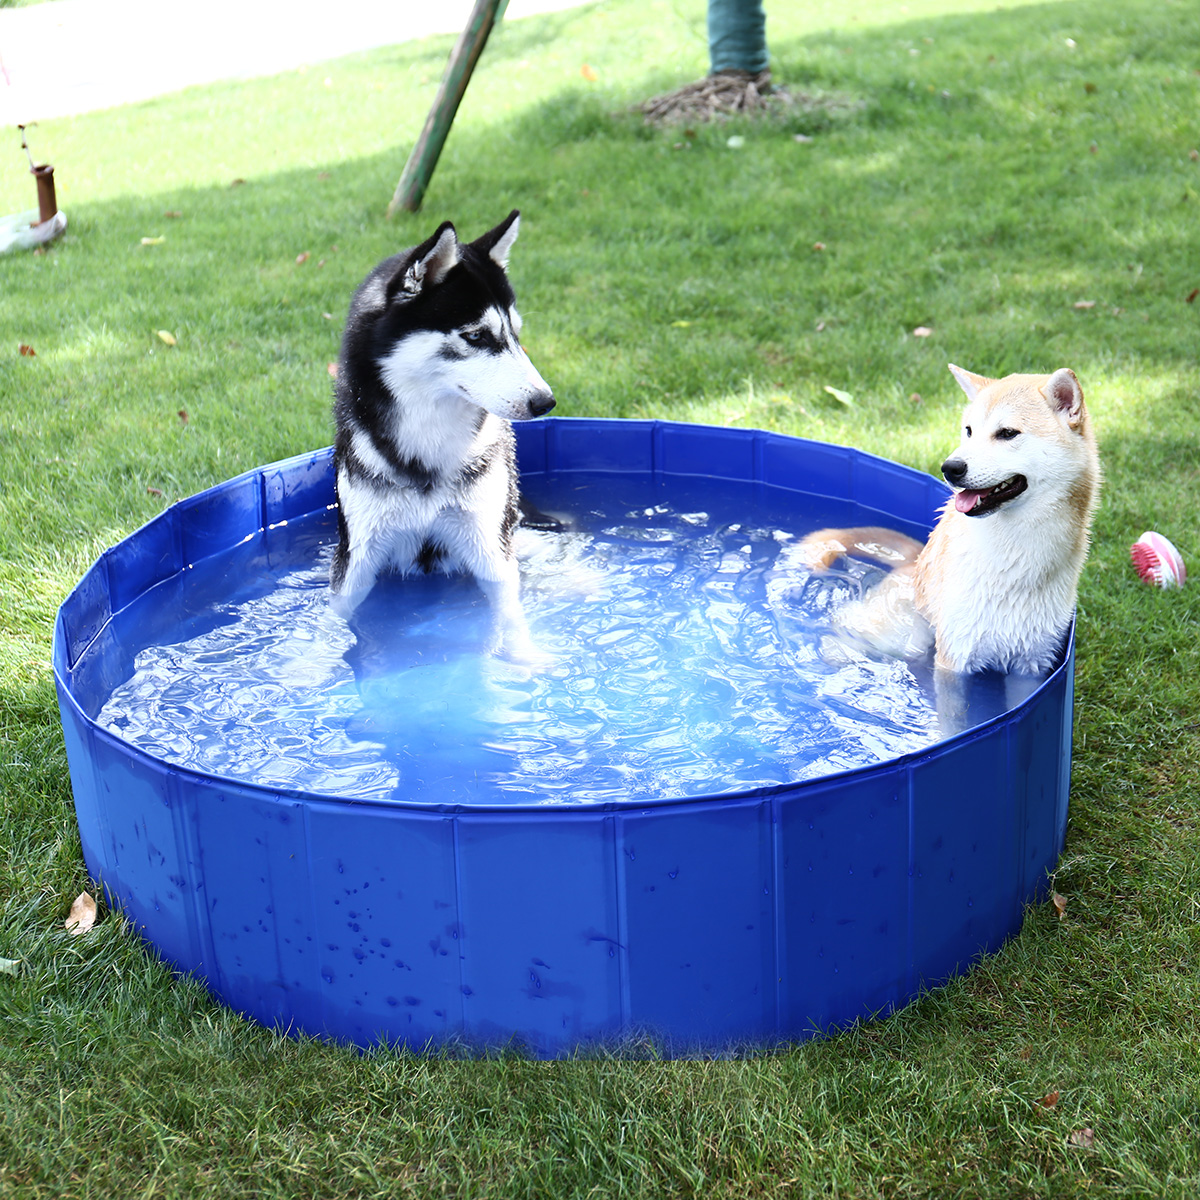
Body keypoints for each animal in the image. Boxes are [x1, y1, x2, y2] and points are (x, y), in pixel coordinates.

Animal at [801, 364, 1099, 681]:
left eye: (1007, 433)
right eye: (968, 431)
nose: (950, 468)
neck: (1015, 557)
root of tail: (915, 560)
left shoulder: (1032, 662)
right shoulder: (955, 657)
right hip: (905, 635)